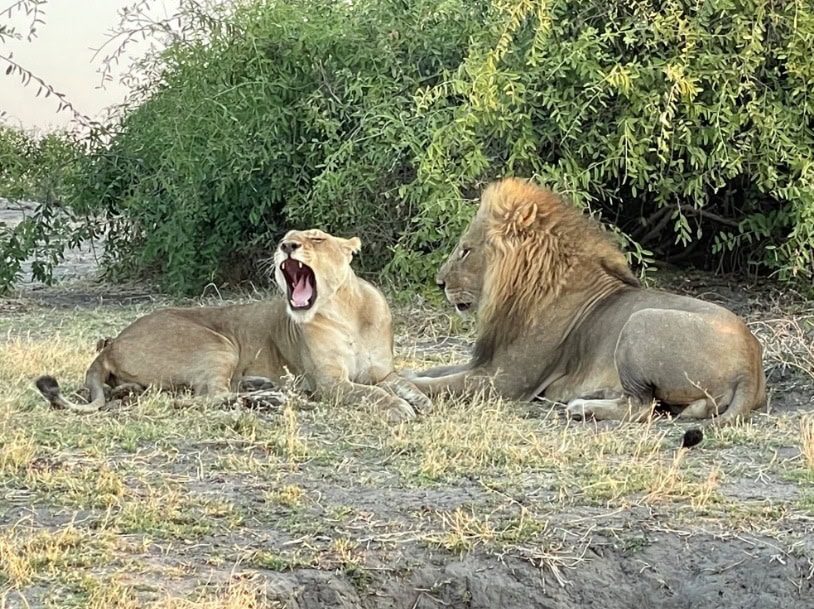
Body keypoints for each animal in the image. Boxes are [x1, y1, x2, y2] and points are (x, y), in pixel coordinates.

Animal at [36, 226, 434, 420]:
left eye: (317, 238)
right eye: (285, 238)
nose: (286, 246)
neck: (344, 312)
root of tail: (112, 343)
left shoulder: (382, 371)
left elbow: (400, 382)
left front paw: (420, 400)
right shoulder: (328, 382)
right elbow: (371, 393)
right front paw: (397, 408)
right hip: (216, 343)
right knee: (204, 397)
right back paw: (273, 397)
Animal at [412, 176, 768, 442]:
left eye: (465, 250)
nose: (439, 282)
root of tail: (750, 364)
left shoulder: (508, 380)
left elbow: (441, 385)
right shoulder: (488, 364)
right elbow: (432, 372)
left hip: (640, 321)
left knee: (642, 407)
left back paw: (581, 407)